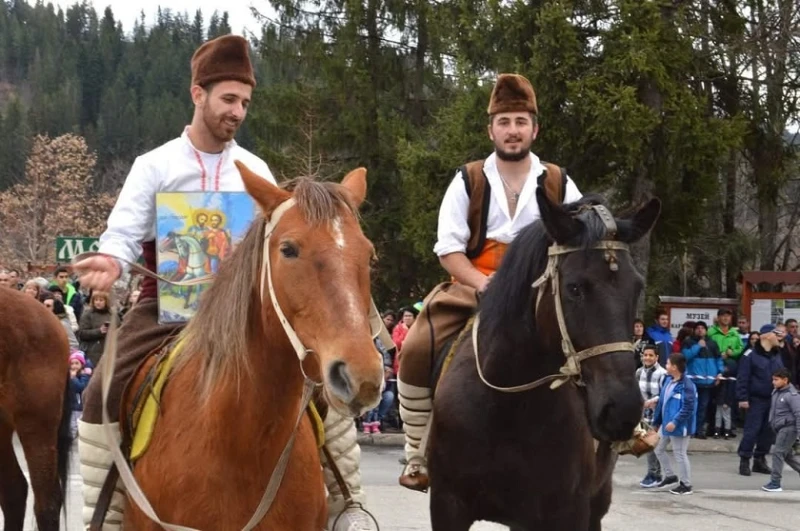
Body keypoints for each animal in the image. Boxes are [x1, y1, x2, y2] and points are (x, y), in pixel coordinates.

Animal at [428, 191, 660, 531]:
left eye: (637, 287)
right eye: (574, 288)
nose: (622, 409)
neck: (506, 409)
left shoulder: (568, 512)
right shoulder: (447, 506)